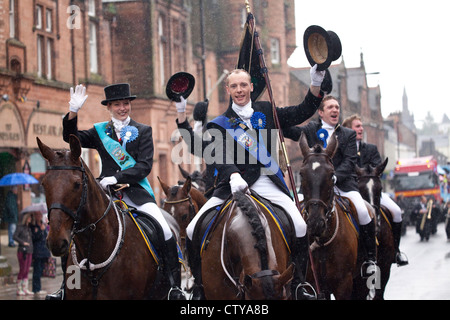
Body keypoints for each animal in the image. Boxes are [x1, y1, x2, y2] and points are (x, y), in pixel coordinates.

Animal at [298, 132, 362, 300]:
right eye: (301, 174)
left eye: (332, 175)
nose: (315, 224)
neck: (322, 242)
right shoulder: (314, 286)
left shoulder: (344, 284)